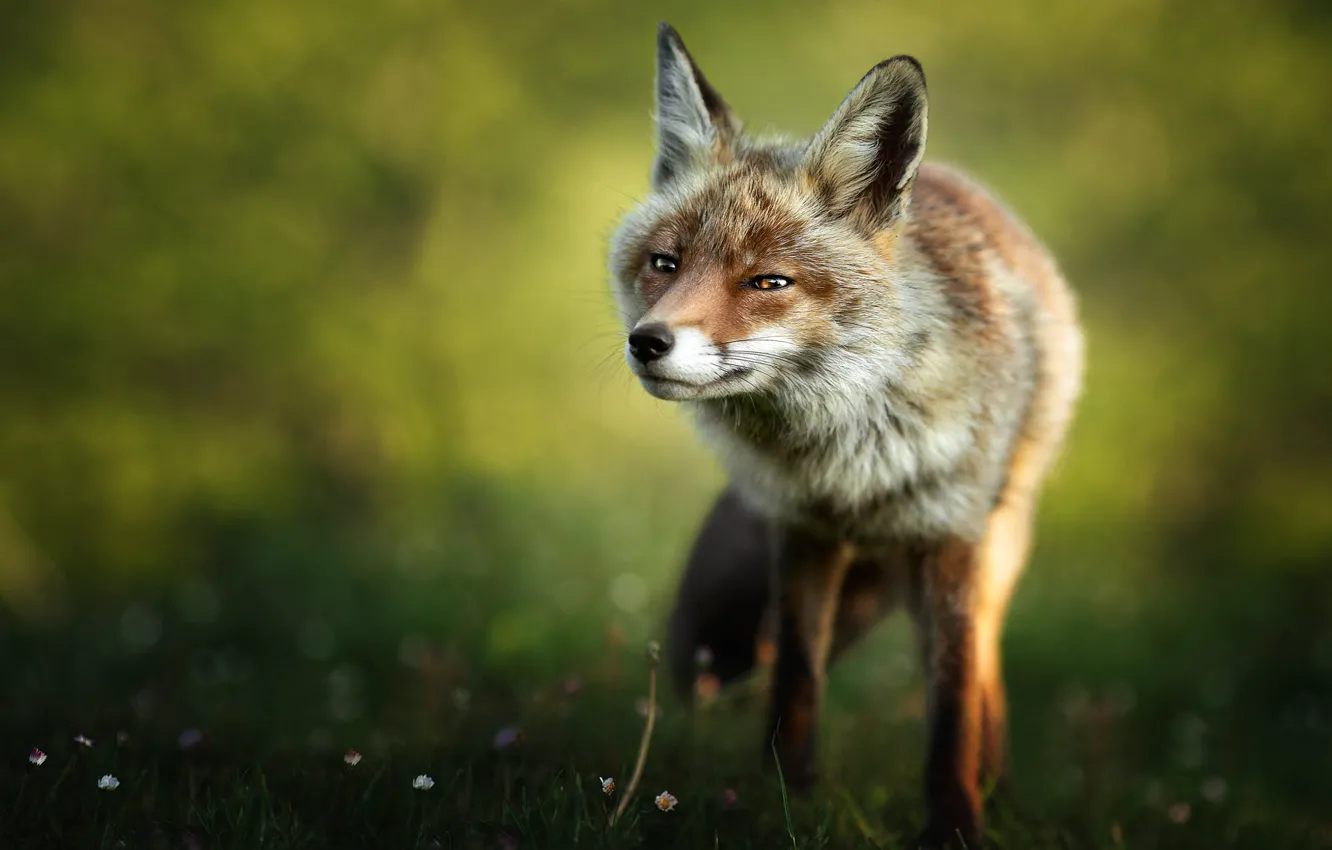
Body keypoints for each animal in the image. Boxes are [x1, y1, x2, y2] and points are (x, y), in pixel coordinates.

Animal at [607, 23, 1084, 849]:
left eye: (768, 282)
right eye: (664, 263)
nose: (648, 342)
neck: (847, 457)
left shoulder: (951, 538)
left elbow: (953, 707)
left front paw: (956, 826)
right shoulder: (801, 530)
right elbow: (796, 681)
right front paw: (785, 800)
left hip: (993, 549)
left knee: (984, 672)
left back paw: (1001, 796)